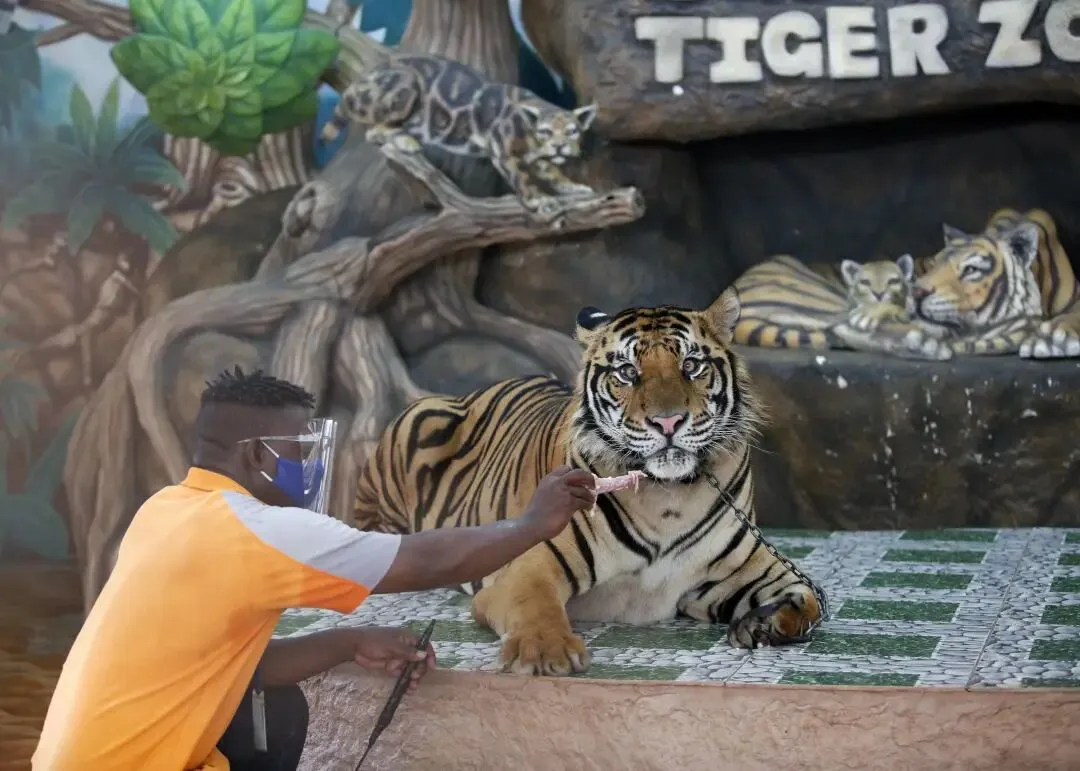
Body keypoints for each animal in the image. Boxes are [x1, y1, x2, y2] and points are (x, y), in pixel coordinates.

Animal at [354, 290, 827, 676]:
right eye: (627, 372)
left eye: (691, 366)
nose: (668, 422)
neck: (669, 495)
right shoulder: (528, 565)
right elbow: (535, 604)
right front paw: (545, 651)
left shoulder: (755, 571)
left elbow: (809, 599)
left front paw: (764, 623)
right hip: (419, 419)